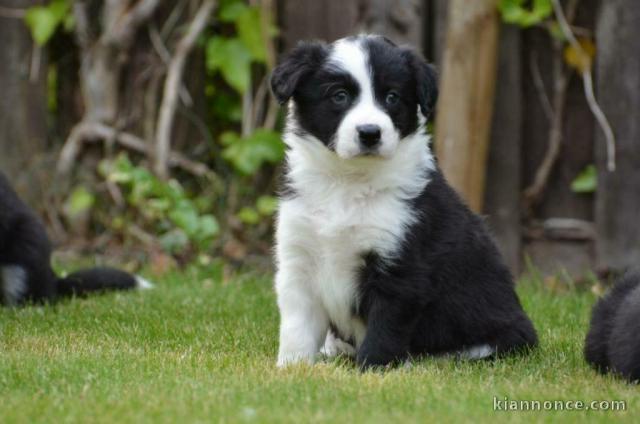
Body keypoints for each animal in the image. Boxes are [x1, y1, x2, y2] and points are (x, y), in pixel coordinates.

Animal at [268, 34, 536, 370]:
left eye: (392, 97)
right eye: (339, 96)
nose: (370, 133)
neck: (348, 181)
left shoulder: (401, 268)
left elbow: (385, 329)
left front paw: (373, 369)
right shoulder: (298, 259)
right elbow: (297, 327)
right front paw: (291, 368)